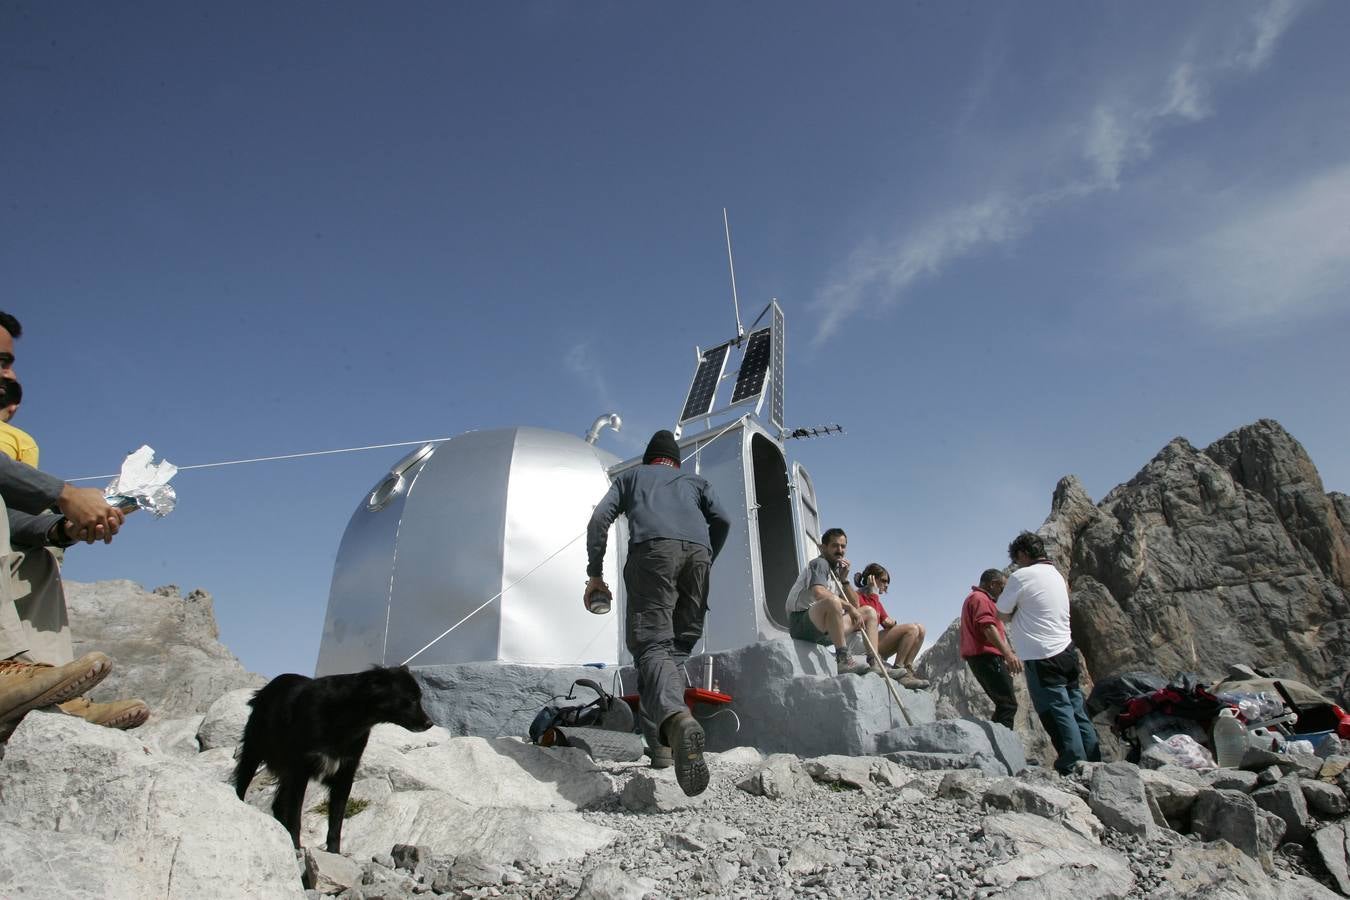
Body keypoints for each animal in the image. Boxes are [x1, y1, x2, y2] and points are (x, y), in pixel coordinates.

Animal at [234, 669, 434, 852]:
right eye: (412, 699)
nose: (429, 724)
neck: (345, 717)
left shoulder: (344, 775)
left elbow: (336, 823)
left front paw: (334, 852)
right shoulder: (301, 770)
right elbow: (296, 815)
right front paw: (296, 846)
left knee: (277, 804)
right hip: (254, 751)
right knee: (243, 783)